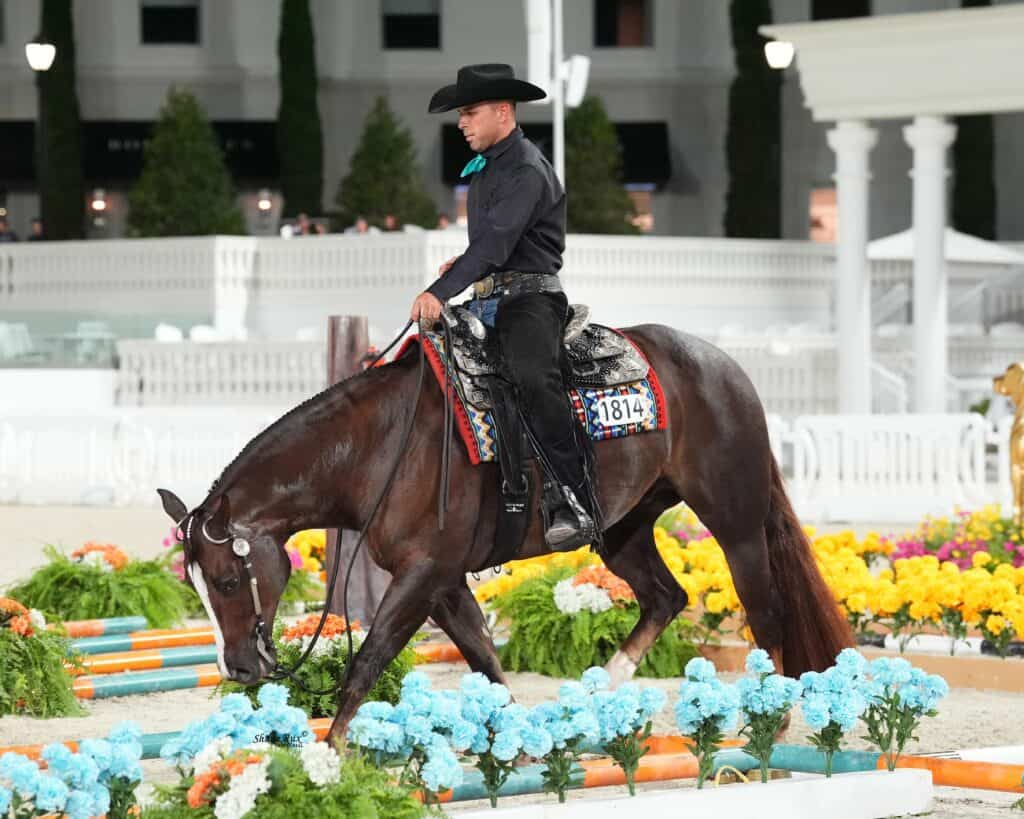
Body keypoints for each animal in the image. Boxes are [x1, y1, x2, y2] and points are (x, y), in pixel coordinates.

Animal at [157, 323, 853, 746]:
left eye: (226, 579)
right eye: (194, 588)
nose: (239, 667)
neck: (378, 445)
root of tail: (725, 367)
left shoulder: (421, 575)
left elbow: (367, 661)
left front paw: (331, 757)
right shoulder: (441, 583)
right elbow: (485, 660)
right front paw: (518, 745)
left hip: (734, 524)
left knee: (765, 612)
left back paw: (774, 718)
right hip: (622, 528)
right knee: (666, 598)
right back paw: (603, 688)